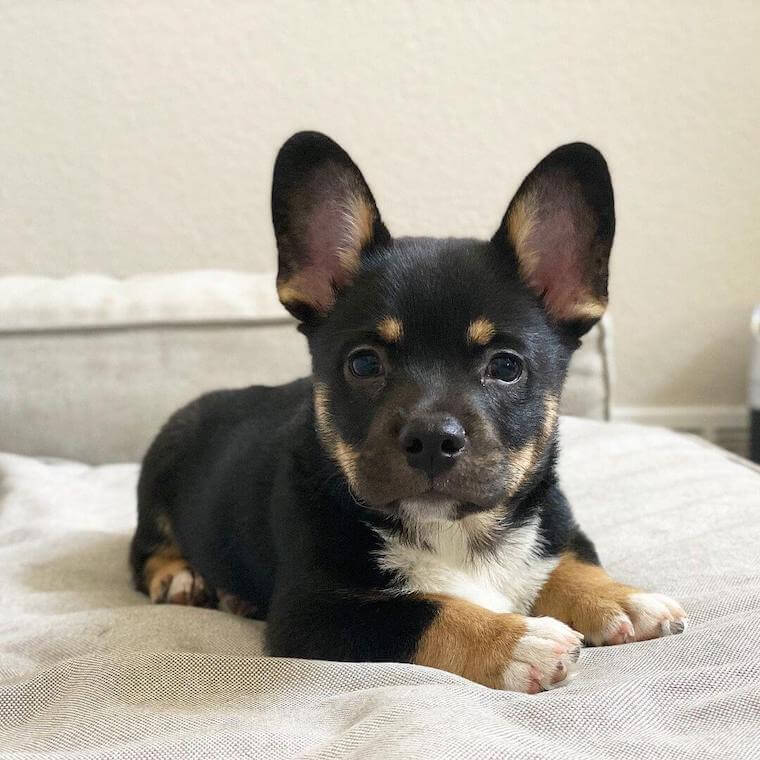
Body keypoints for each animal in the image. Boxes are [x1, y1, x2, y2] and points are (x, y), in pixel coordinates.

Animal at [132, 132, 688, 696]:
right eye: (363, 363)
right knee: (146, 551)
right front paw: (517, 640)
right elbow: (429, 611)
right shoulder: (316, 613)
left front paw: (620, 597)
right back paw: (181, 577)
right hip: (159, 475)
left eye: (506, 367)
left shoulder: (554, 528)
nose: (432, 438)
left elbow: (566, 562)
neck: (461, 534)